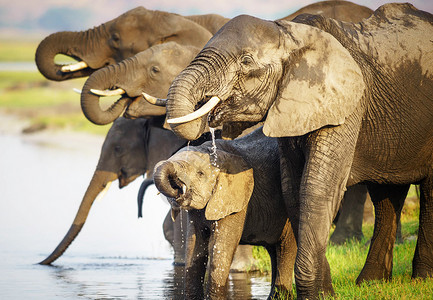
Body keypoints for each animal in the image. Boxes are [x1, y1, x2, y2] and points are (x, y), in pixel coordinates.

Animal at [154, 127, 298, 300]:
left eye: (200, 174)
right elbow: (194, 248)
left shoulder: (236, 199)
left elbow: (221, 248)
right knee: (274, 251)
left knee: (286, 249)